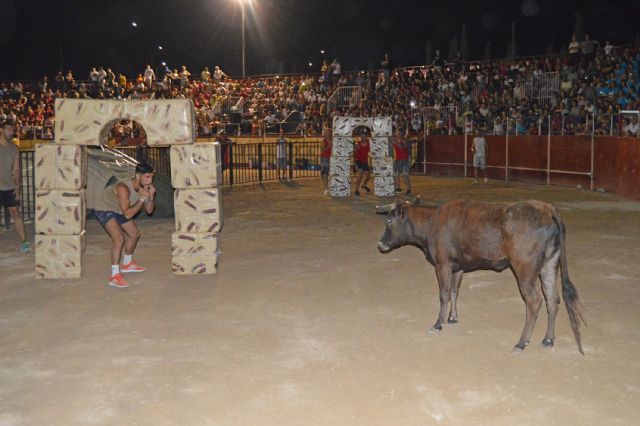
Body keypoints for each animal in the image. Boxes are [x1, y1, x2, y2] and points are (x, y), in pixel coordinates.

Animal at [378, 198, 588, 354]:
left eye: (389, 221)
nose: (380, 244)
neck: (432, 222)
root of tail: (547, 208)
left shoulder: (442, 264)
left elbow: (444, 294)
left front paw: (438, 324)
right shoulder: (458, 266)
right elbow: (454, 291)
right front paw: (452, 318)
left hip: (525, 269)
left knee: (534, 302)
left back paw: (521, 342)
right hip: (549, 265)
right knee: (552, 298)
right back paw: (548, 339)